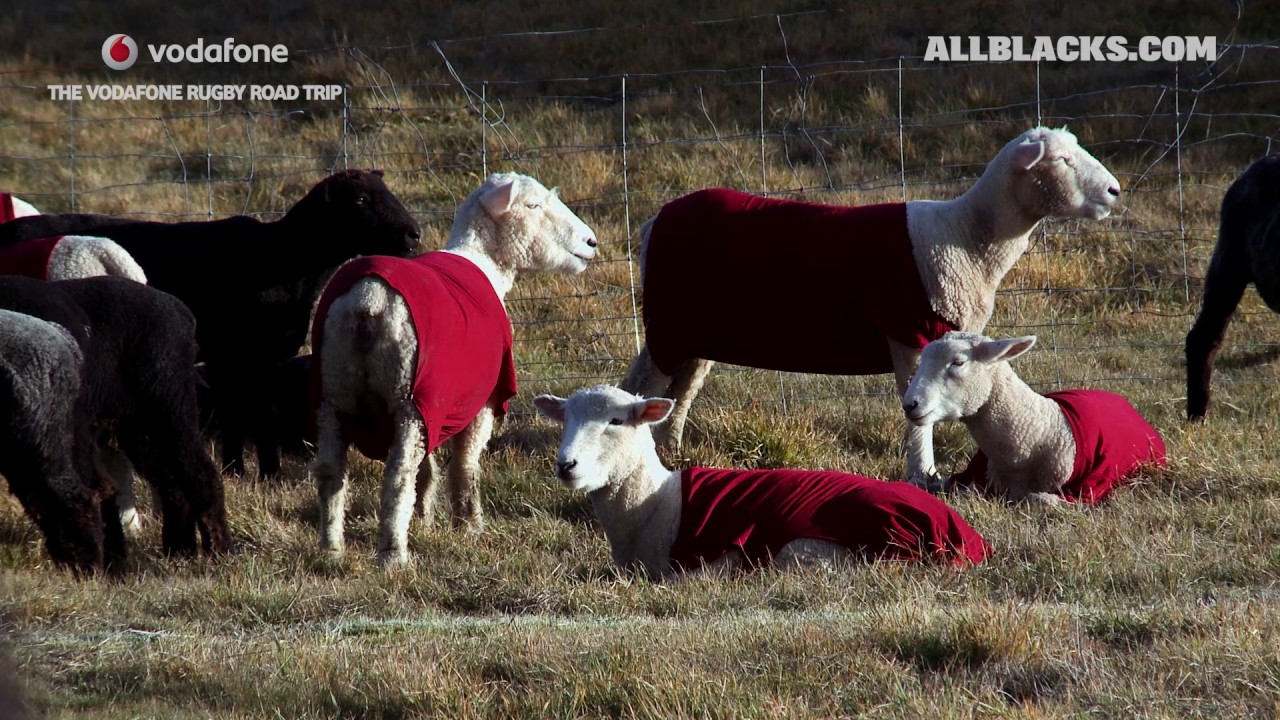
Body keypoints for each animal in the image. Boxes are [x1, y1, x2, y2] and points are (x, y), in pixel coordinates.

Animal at [310, 172, 598, 566]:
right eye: (533, 205)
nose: (591, 242)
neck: (487, 263)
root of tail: (366, 303)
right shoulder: (480, 400)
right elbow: (465, 466)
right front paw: (469, 526)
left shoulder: (435, 409)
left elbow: (428, 470)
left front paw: (423, 520)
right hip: (406, 395)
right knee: (398, 476)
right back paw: (393, 554)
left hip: (335, 392)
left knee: (330, 472)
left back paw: (331, 549)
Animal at [533, 384, 991, 579]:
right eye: (566, 418)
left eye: (615, 421)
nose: (566, 464)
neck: (657, 505)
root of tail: (961, 533)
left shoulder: (709, 560)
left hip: (809, 551)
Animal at [621, 126, 1121, 490]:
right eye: (1062, 160)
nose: (1116, 191)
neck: (966, 236)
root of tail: (653, 220)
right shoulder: (908, 330)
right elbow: (918, 412)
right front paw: (924, 474)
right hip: (669, 320)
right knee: (646, 384)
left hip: (694, 328)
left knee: (682, 388)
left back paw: (672, 451)